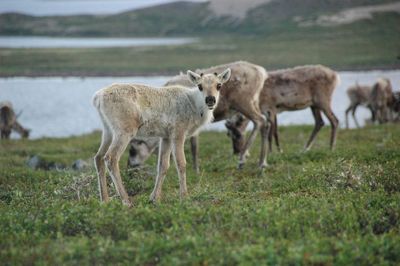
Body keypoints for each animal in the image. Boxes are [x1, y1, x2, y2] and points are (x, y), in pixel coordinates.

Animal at [93, 68, 231, 206]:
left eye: (219, 85)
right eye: (200, 86)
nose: (210, 100)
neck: (194, 105)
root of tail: (98, 97)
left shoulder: (166, 137)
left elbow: (163, 166)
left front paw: (154, 198)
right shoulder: (178, 133)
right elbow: (181, 163)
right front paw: (184, 197)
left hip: (108, 130)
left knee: (98, 157)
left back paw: (104, 200)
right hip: (125, 131)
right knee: (111, 158)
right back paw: (126, 201)